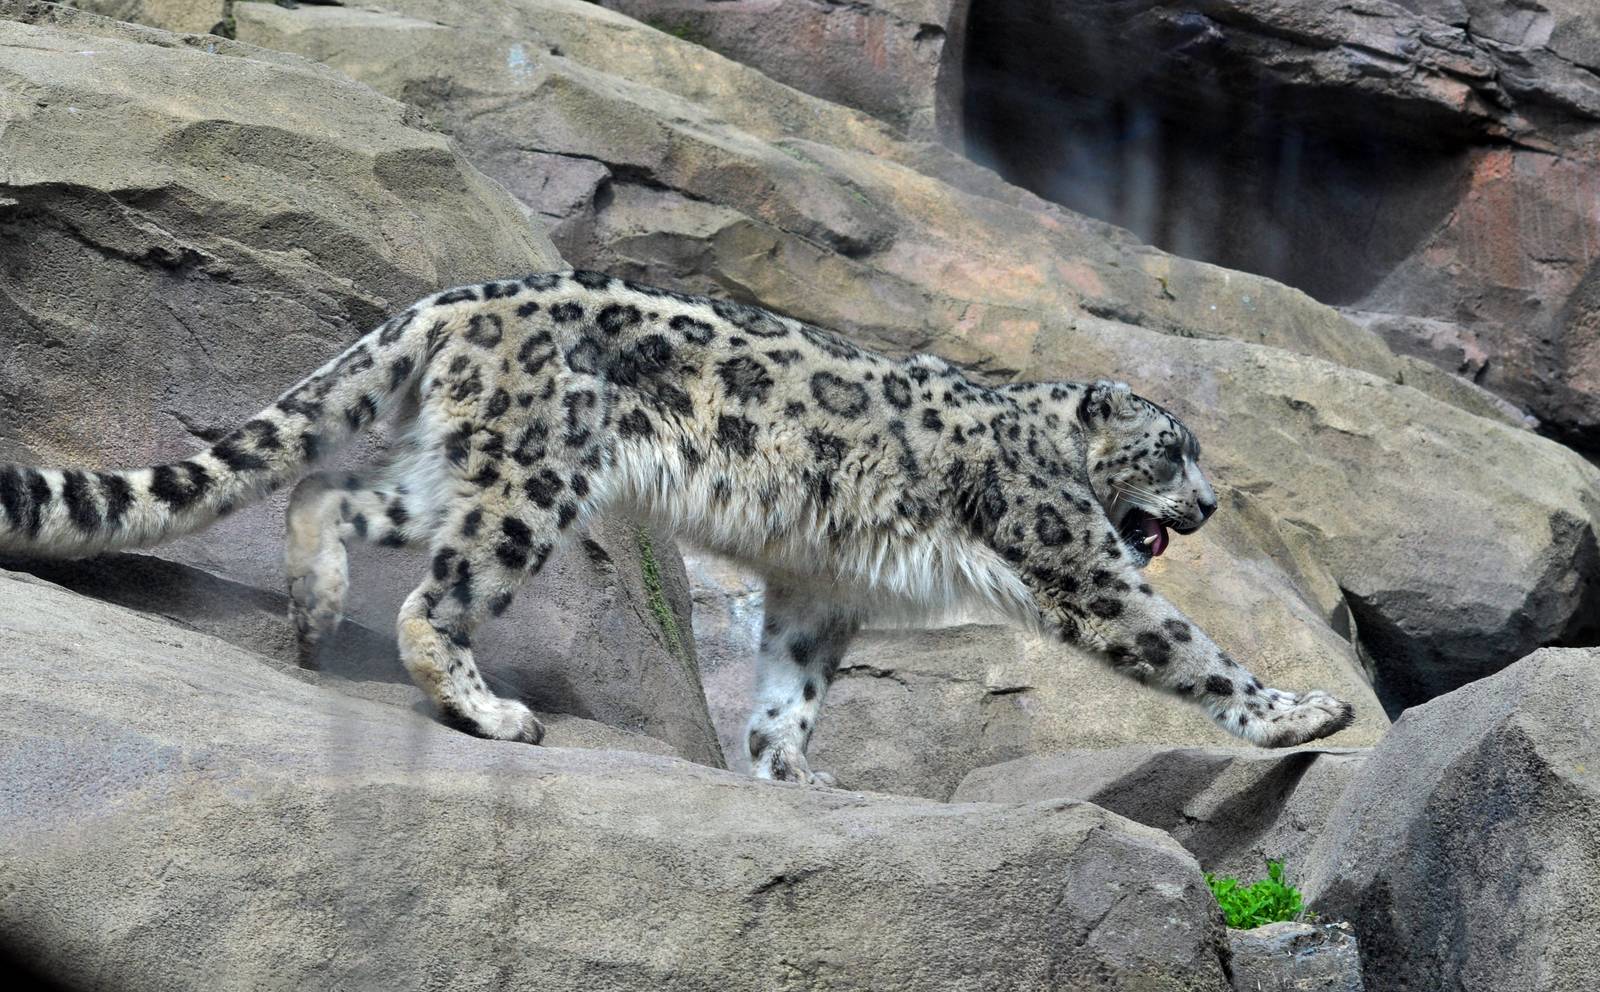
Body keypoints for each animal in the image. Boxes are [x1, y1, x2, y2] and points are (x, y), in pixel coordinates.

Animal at [0, 270, 1354, 782]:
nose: (1208, 506)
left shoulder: (819, 589)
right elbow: (1181, 643)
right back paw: (493, 710)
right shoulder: (1072, 552)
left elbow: (790, 690)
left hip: (459, 466)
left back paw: (311, 604)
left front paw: (793, 772)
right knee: (434, 599)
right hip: (532, 482)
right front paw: (1300, 711)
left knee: (328, 492)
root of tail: (451, 300)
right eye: (1173, 450)